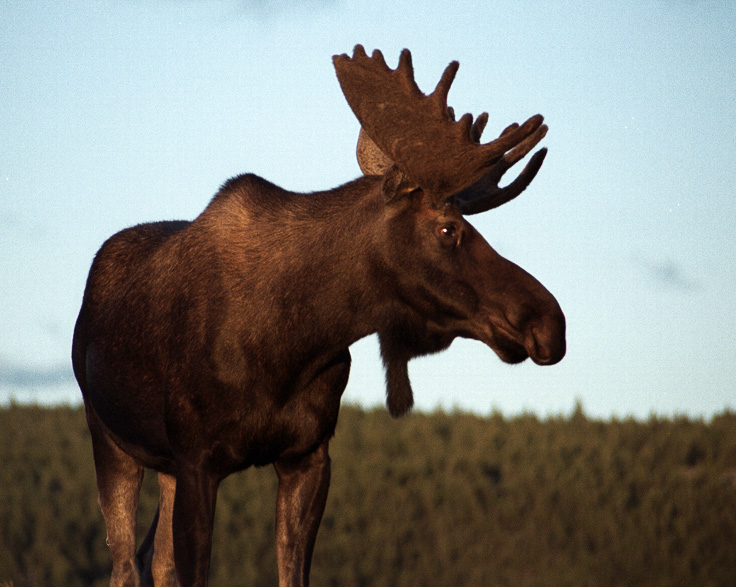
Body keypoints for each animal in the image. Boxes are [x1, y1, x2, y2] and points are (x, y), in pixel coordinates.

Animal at [71, 45, 566, 586]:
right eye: (447, 230)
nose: (549, 322)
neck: (292, 343)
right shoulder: (197, 458)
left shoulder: (307, 456)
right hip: (110, 437)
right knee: (125, 565)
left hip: (164, 465)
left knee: (155, 560)